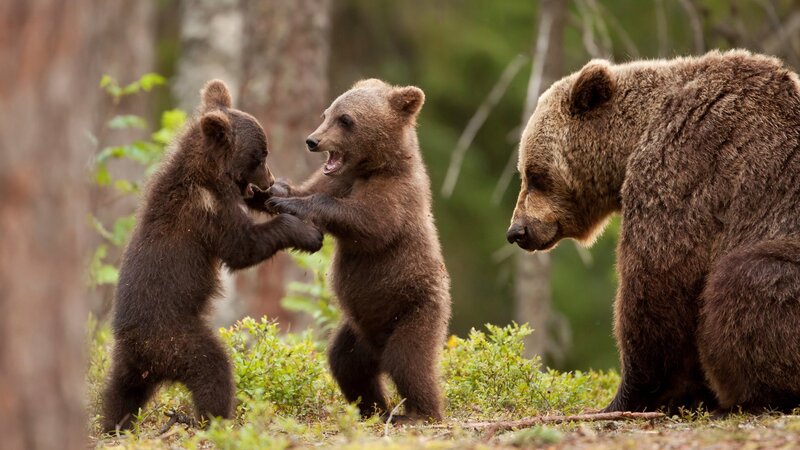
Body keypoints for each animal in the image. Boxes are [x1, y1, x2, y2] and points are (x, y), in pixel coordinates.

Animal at [101, 79, 323, 433]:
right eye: (260, 155)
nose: (270, 179)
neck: (209, 175)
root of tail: (143, 353)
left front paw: (279, 197)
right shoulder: (206, 213)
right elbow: (242, 247)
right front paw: (306, 232)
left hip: (129, 363)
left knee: (119, 392)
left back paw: (112, 423)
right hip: (176, 338)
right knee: (212, 368)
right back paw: (212, 418)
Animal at [264, 79, 451, 422]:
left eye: (346, 120)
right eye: (327, 113)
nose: (312, 140)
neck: (373, 167)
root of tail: (377, 346)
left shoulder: (397, 195)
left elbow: (369, 222)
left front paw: (292, 203)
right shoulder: (338, 179)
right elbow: (312, 188)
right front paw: (277, 190)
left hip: (415, 310)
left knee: (409, 361)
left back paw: (419, 413)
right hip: (357, 330)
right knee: (346, 363)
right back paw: (374, 408)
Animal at [506, 49, 800, 413]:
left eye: (534, 175)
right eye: (524, 172)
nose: (517, 231)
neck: (632, 140)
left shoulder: (686, 167)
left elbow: (657, 282)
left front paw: (627, 397)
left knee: (746, 277)